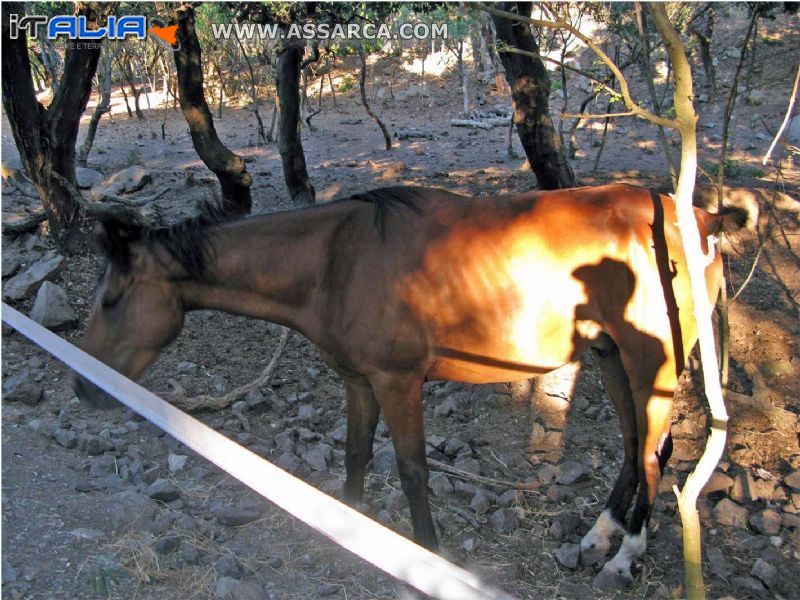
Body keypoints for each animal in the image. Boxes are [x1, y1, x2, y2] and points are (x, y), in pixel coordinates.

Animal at [72, 184, 748, 584]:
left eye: (110, 301)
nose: (83, 388)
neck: (337, 260)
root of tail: (702, 217)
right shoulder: (359, 382)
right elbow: (355, 455)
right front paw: (346, 529)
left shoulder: (399, 384)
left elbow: (412, 469)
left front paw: (429, 553)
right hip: (610, 359)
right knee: (635, 449)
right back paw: (598, 537)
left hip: (648, 364)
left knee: (653, 455)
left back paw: (627, 555)